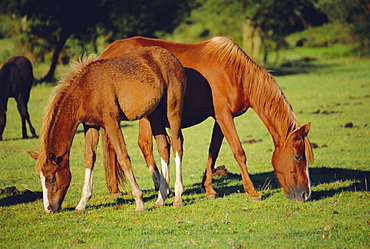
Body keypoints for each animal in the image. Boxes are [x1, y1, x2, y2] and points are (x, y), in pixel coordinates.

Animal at [28, 47, 188, 214]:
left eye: (51, 178)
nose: (49, 209)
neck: (86, 89)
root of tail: (172, 58)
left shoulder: (111, 122)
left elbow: (123, 158)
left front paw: (139, 202)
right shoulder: (90, 125)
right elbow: (89, 158)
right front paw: (82, 204)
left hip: (173, 110)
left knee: (177, 144)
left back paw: (178, 198)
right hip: (154, 114)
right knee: (164, 147)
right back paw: (161, 199)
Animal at [99, 36, 314, 202]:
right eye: (298, 156)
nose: (306, 195)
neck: (235, 72)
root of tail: (107, 53)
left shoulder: (220, 119)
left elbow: (213, 151)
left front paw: (209, 189)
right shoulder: (224, 116)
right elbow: (239, 152)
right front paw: (252, 192)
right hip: (145, 117)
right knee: (144, 144)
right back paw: (160, 189)